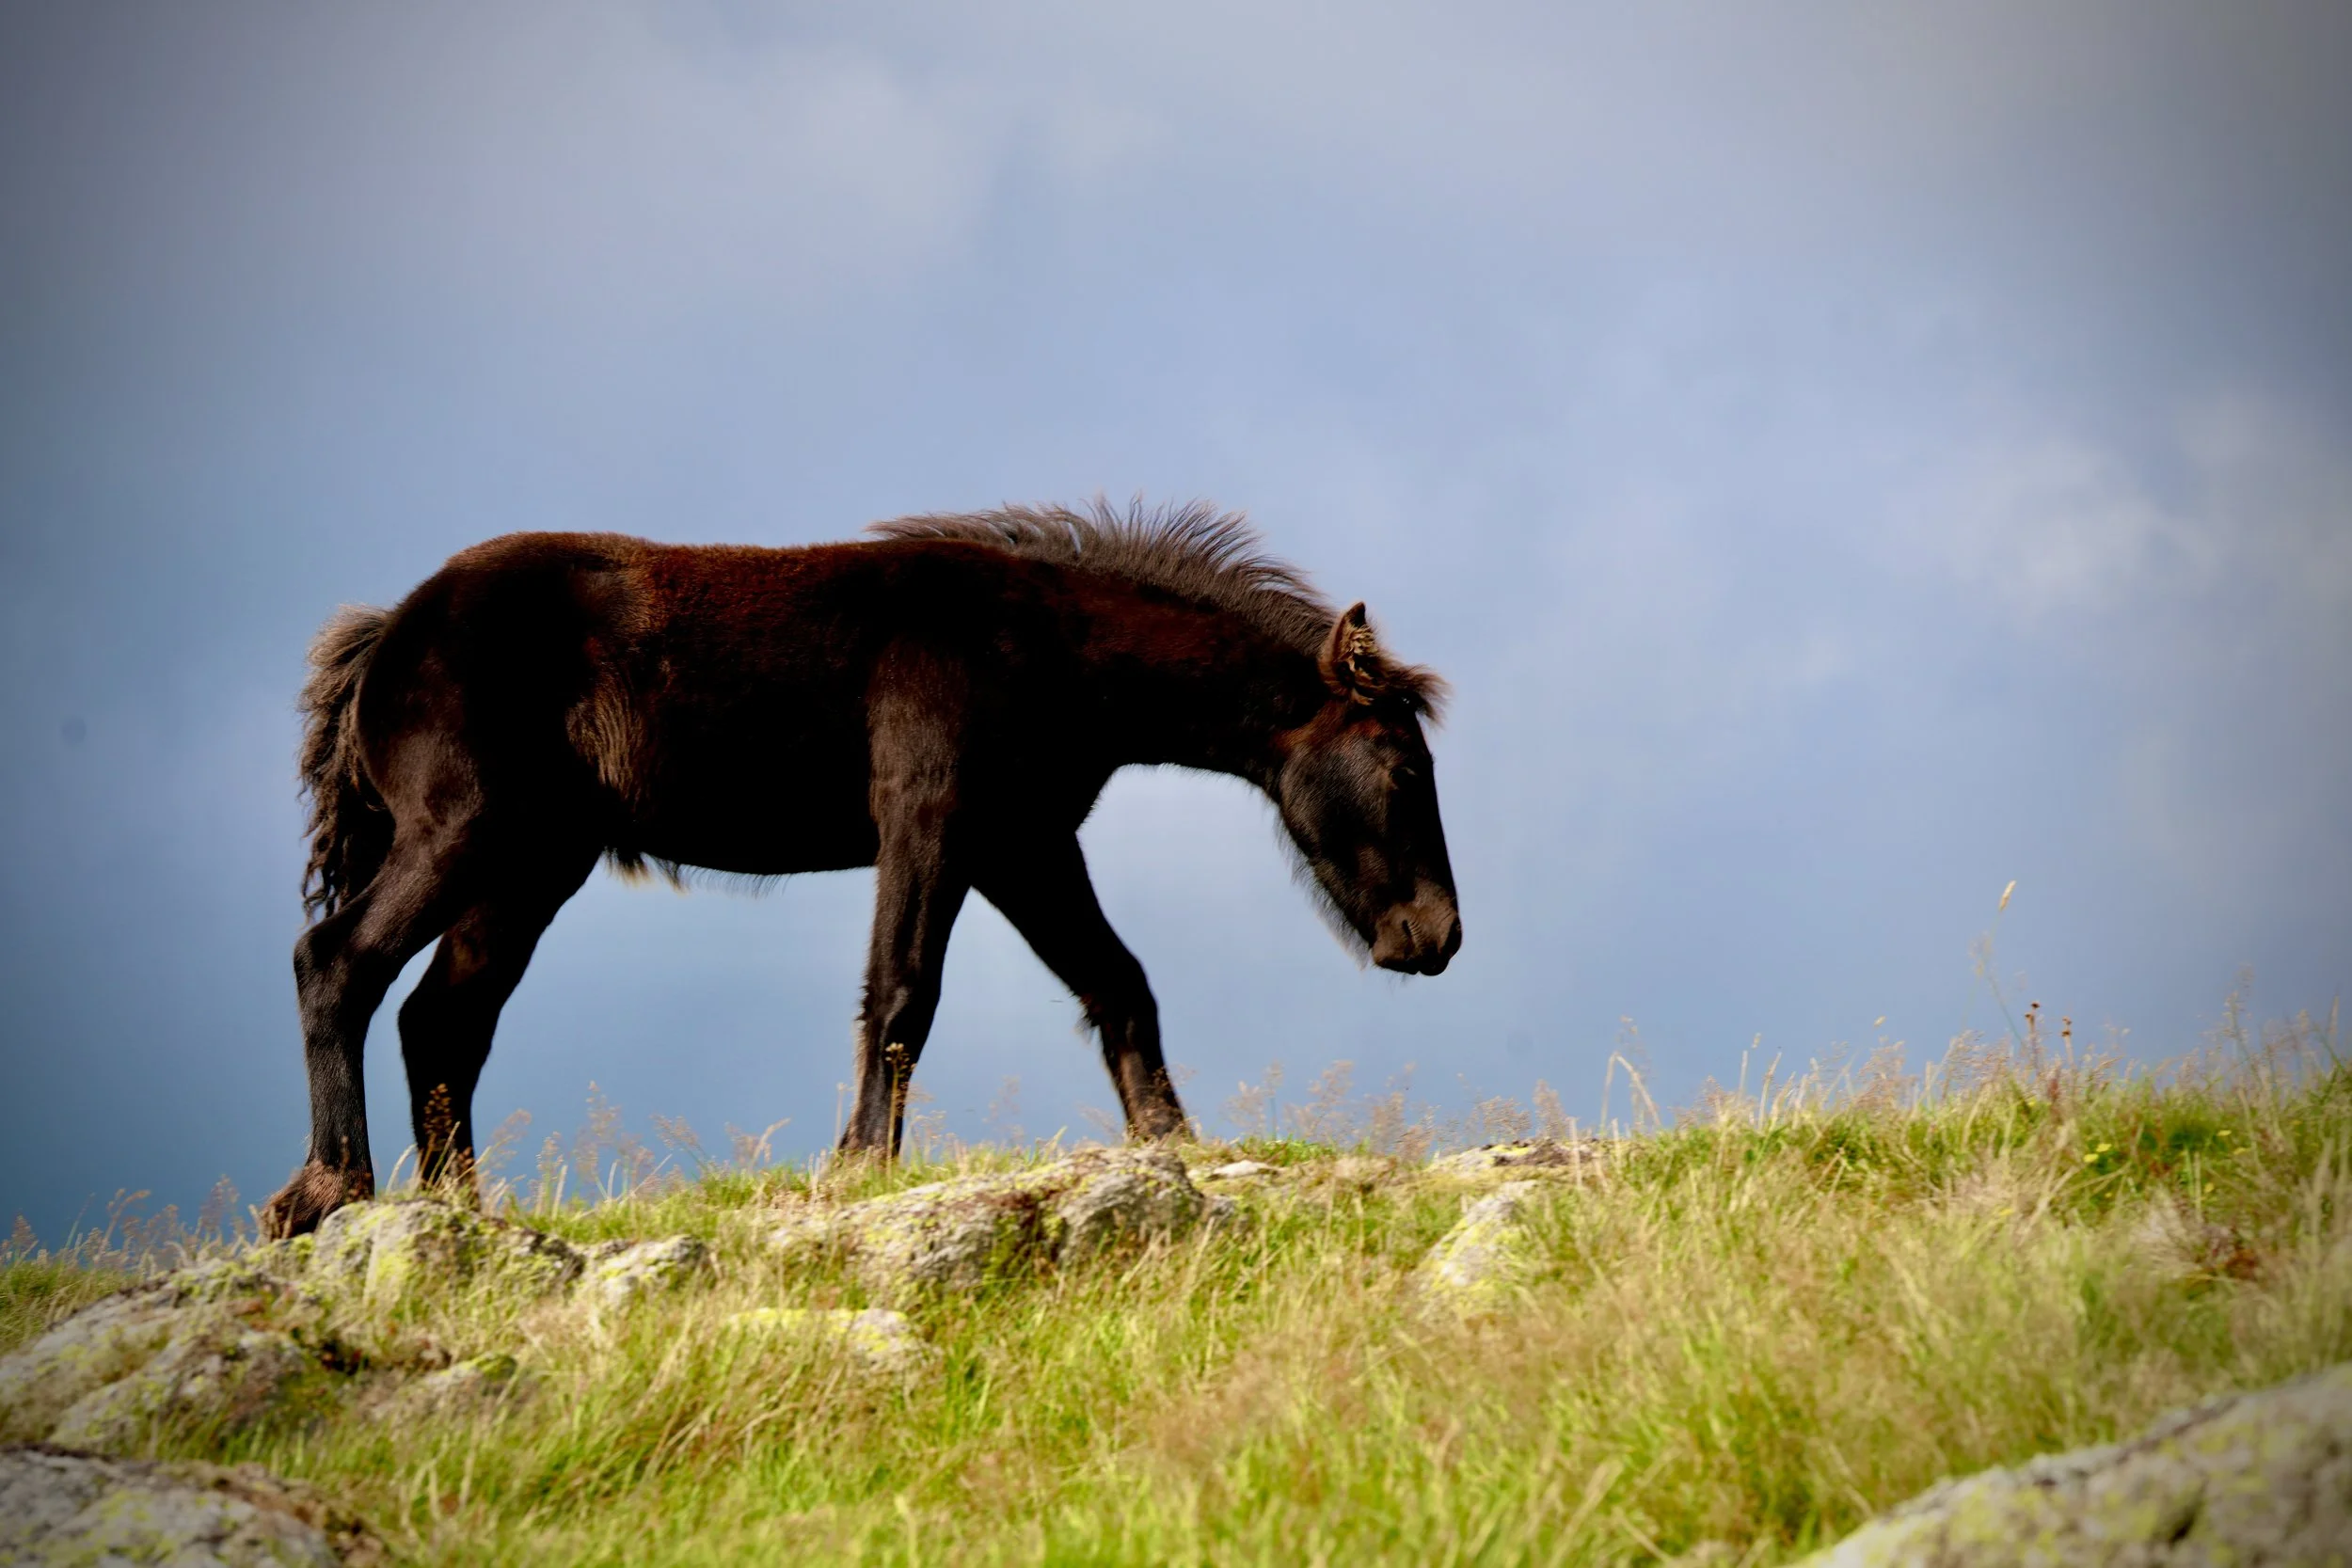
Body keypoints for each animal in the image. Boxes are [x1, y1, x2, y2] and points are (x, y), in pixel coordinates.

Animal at [260, 501, 1461, 1237]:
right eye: (1403, 767)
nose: (1435, 935)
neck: (1048, 644)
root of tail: (386, 638)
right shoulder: (930, 819)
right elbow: (901, 990)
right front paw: (860, 1163)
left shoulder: (1023, 841)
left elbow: (1118, 984)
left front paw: (1173, 1144)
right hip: (462, 834)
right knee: (337, 962)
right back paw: (327, 1189)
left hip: (527, 867)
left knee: (442, 1019)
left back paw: (460, 1211)